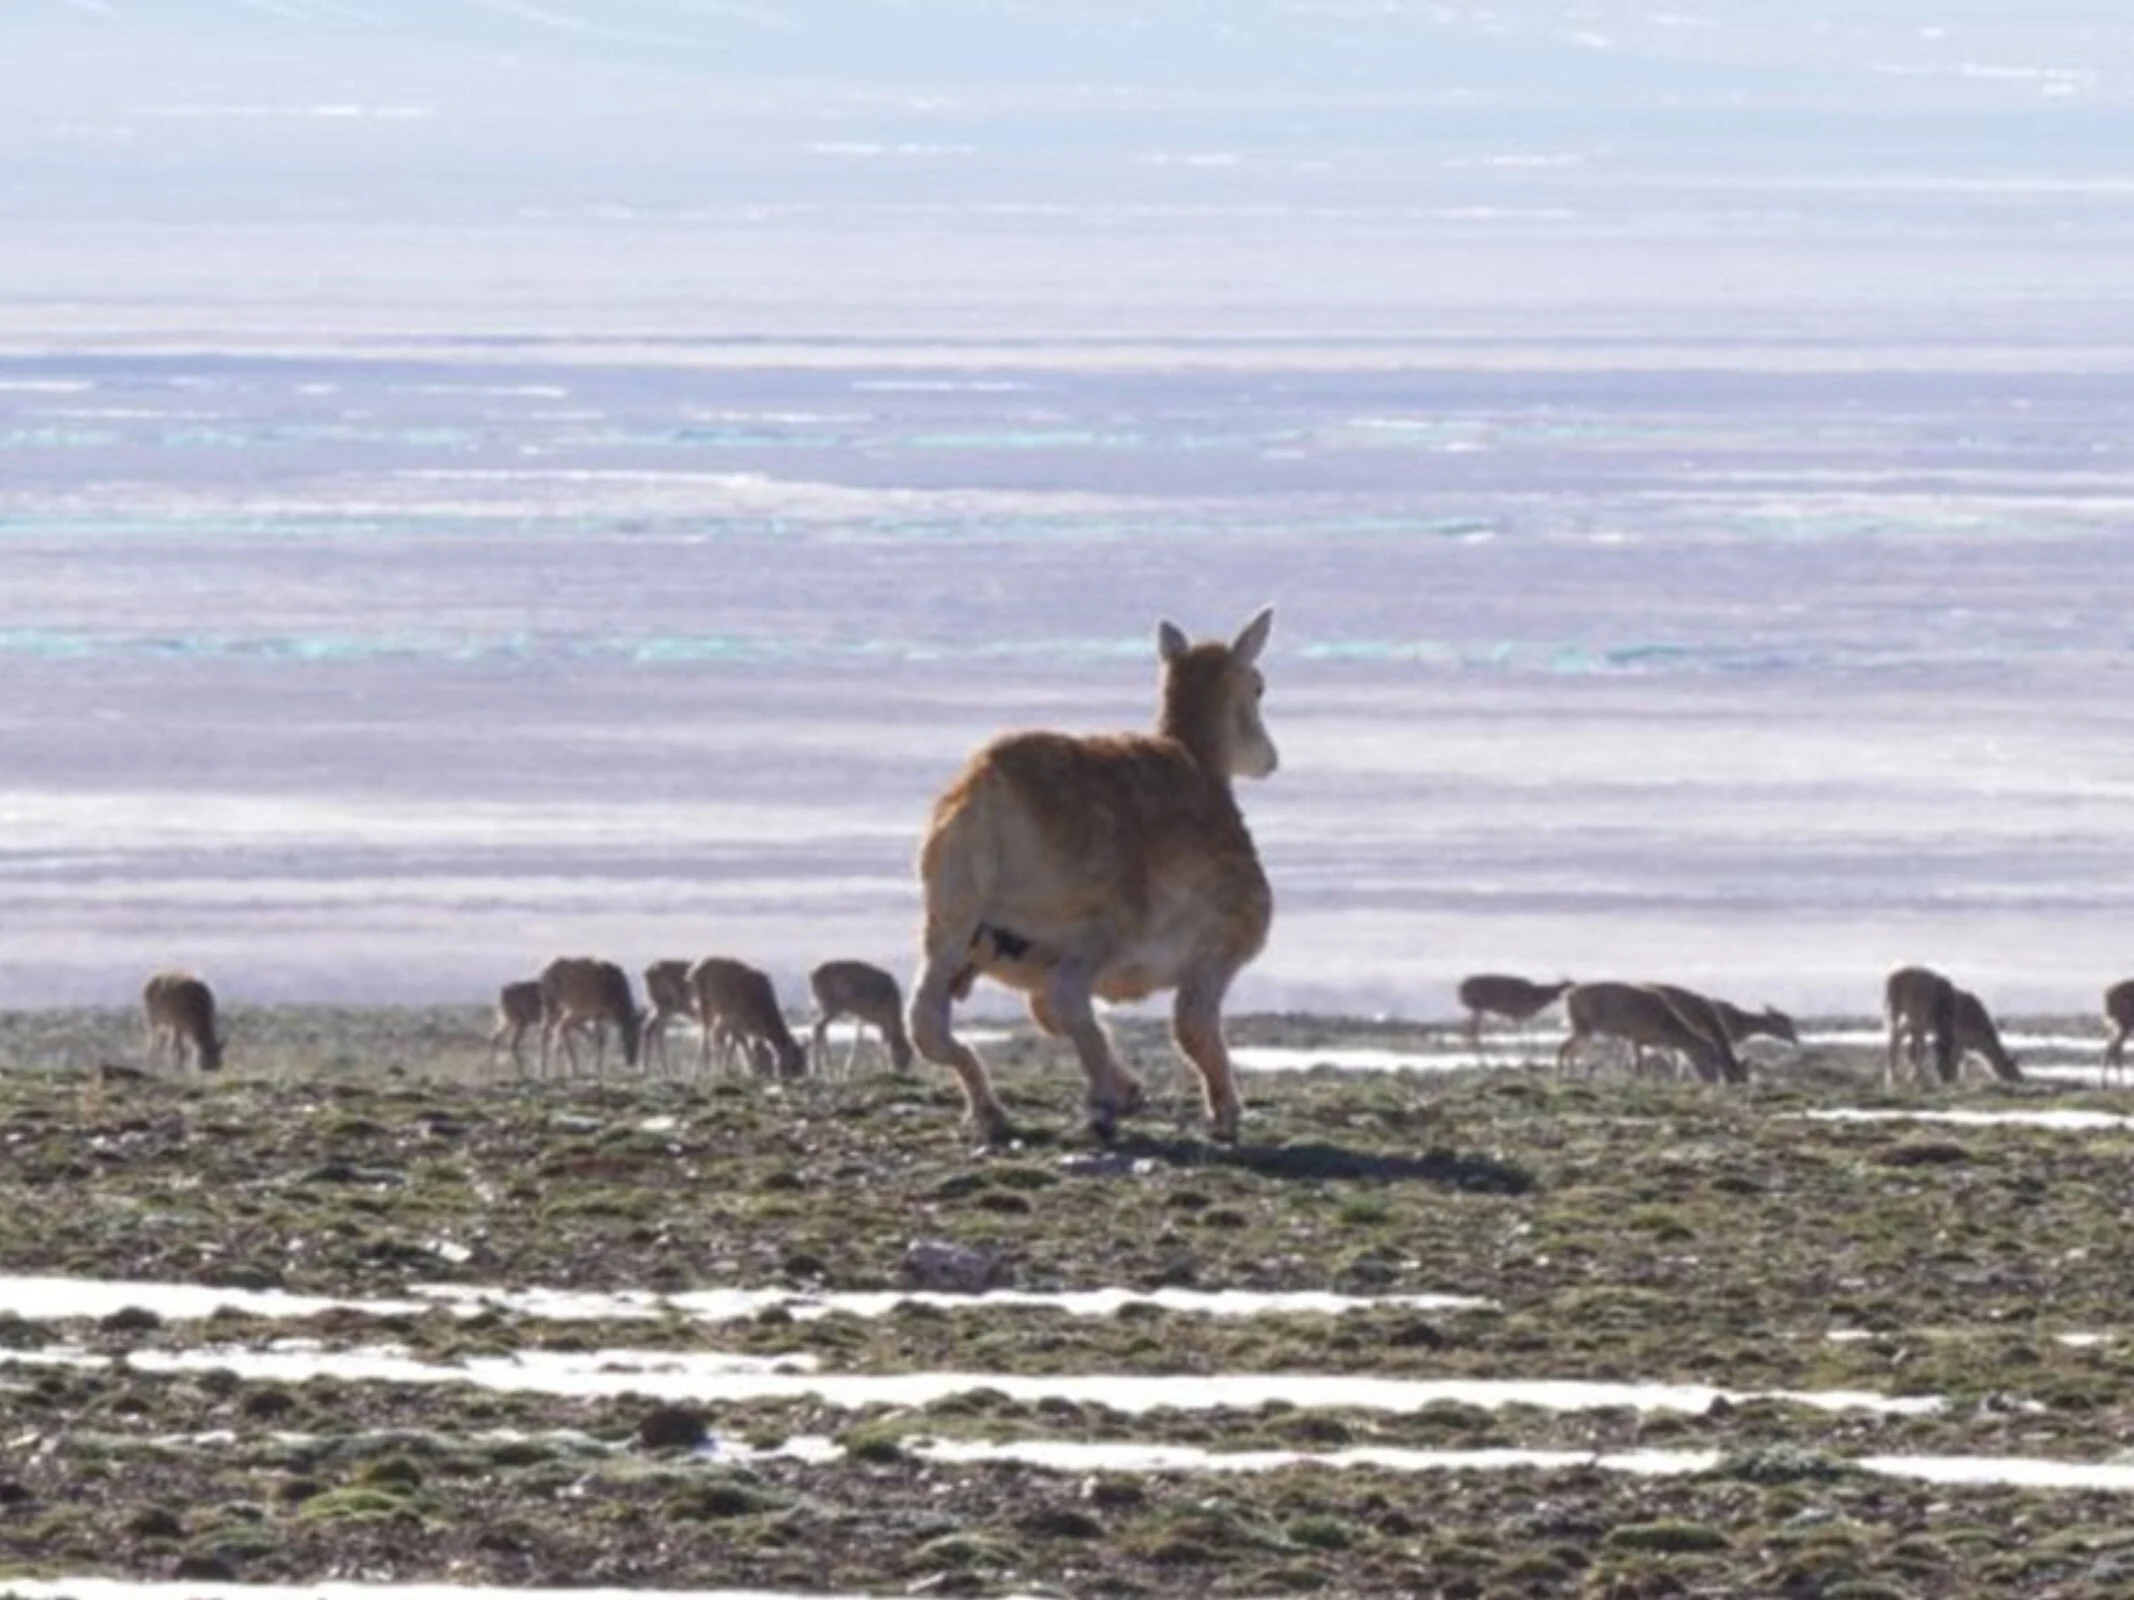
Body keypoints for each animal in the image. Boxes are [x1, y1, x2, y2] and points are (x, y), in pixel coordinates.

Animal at [908, 606, 1278, 1144]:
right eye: (1258, 686)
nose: (1269, 759)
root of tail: (988, 791)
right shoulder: (1216, 953)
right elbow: (1192, 1027)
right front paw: (1225, 1114)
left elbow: (1046, 1015)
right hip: (1099, 930)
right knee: (1065, 996)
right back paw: (1106, 1101)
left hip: (952, 930)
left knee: (928, 1024)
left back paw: (993, 1111)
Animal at [1556, 982, 1738, 1085]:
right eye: (1712, 1058)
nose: (1713, 1081)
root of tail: (1567, 996)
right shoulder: (1636, 1034)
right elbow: (1639, 1065)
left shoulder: (1642, 1040)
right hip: (1584, 1025)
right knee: (1565, 1048)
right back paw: (1569, 1074)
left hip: (1583, 1027)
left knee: (1570, 1049)